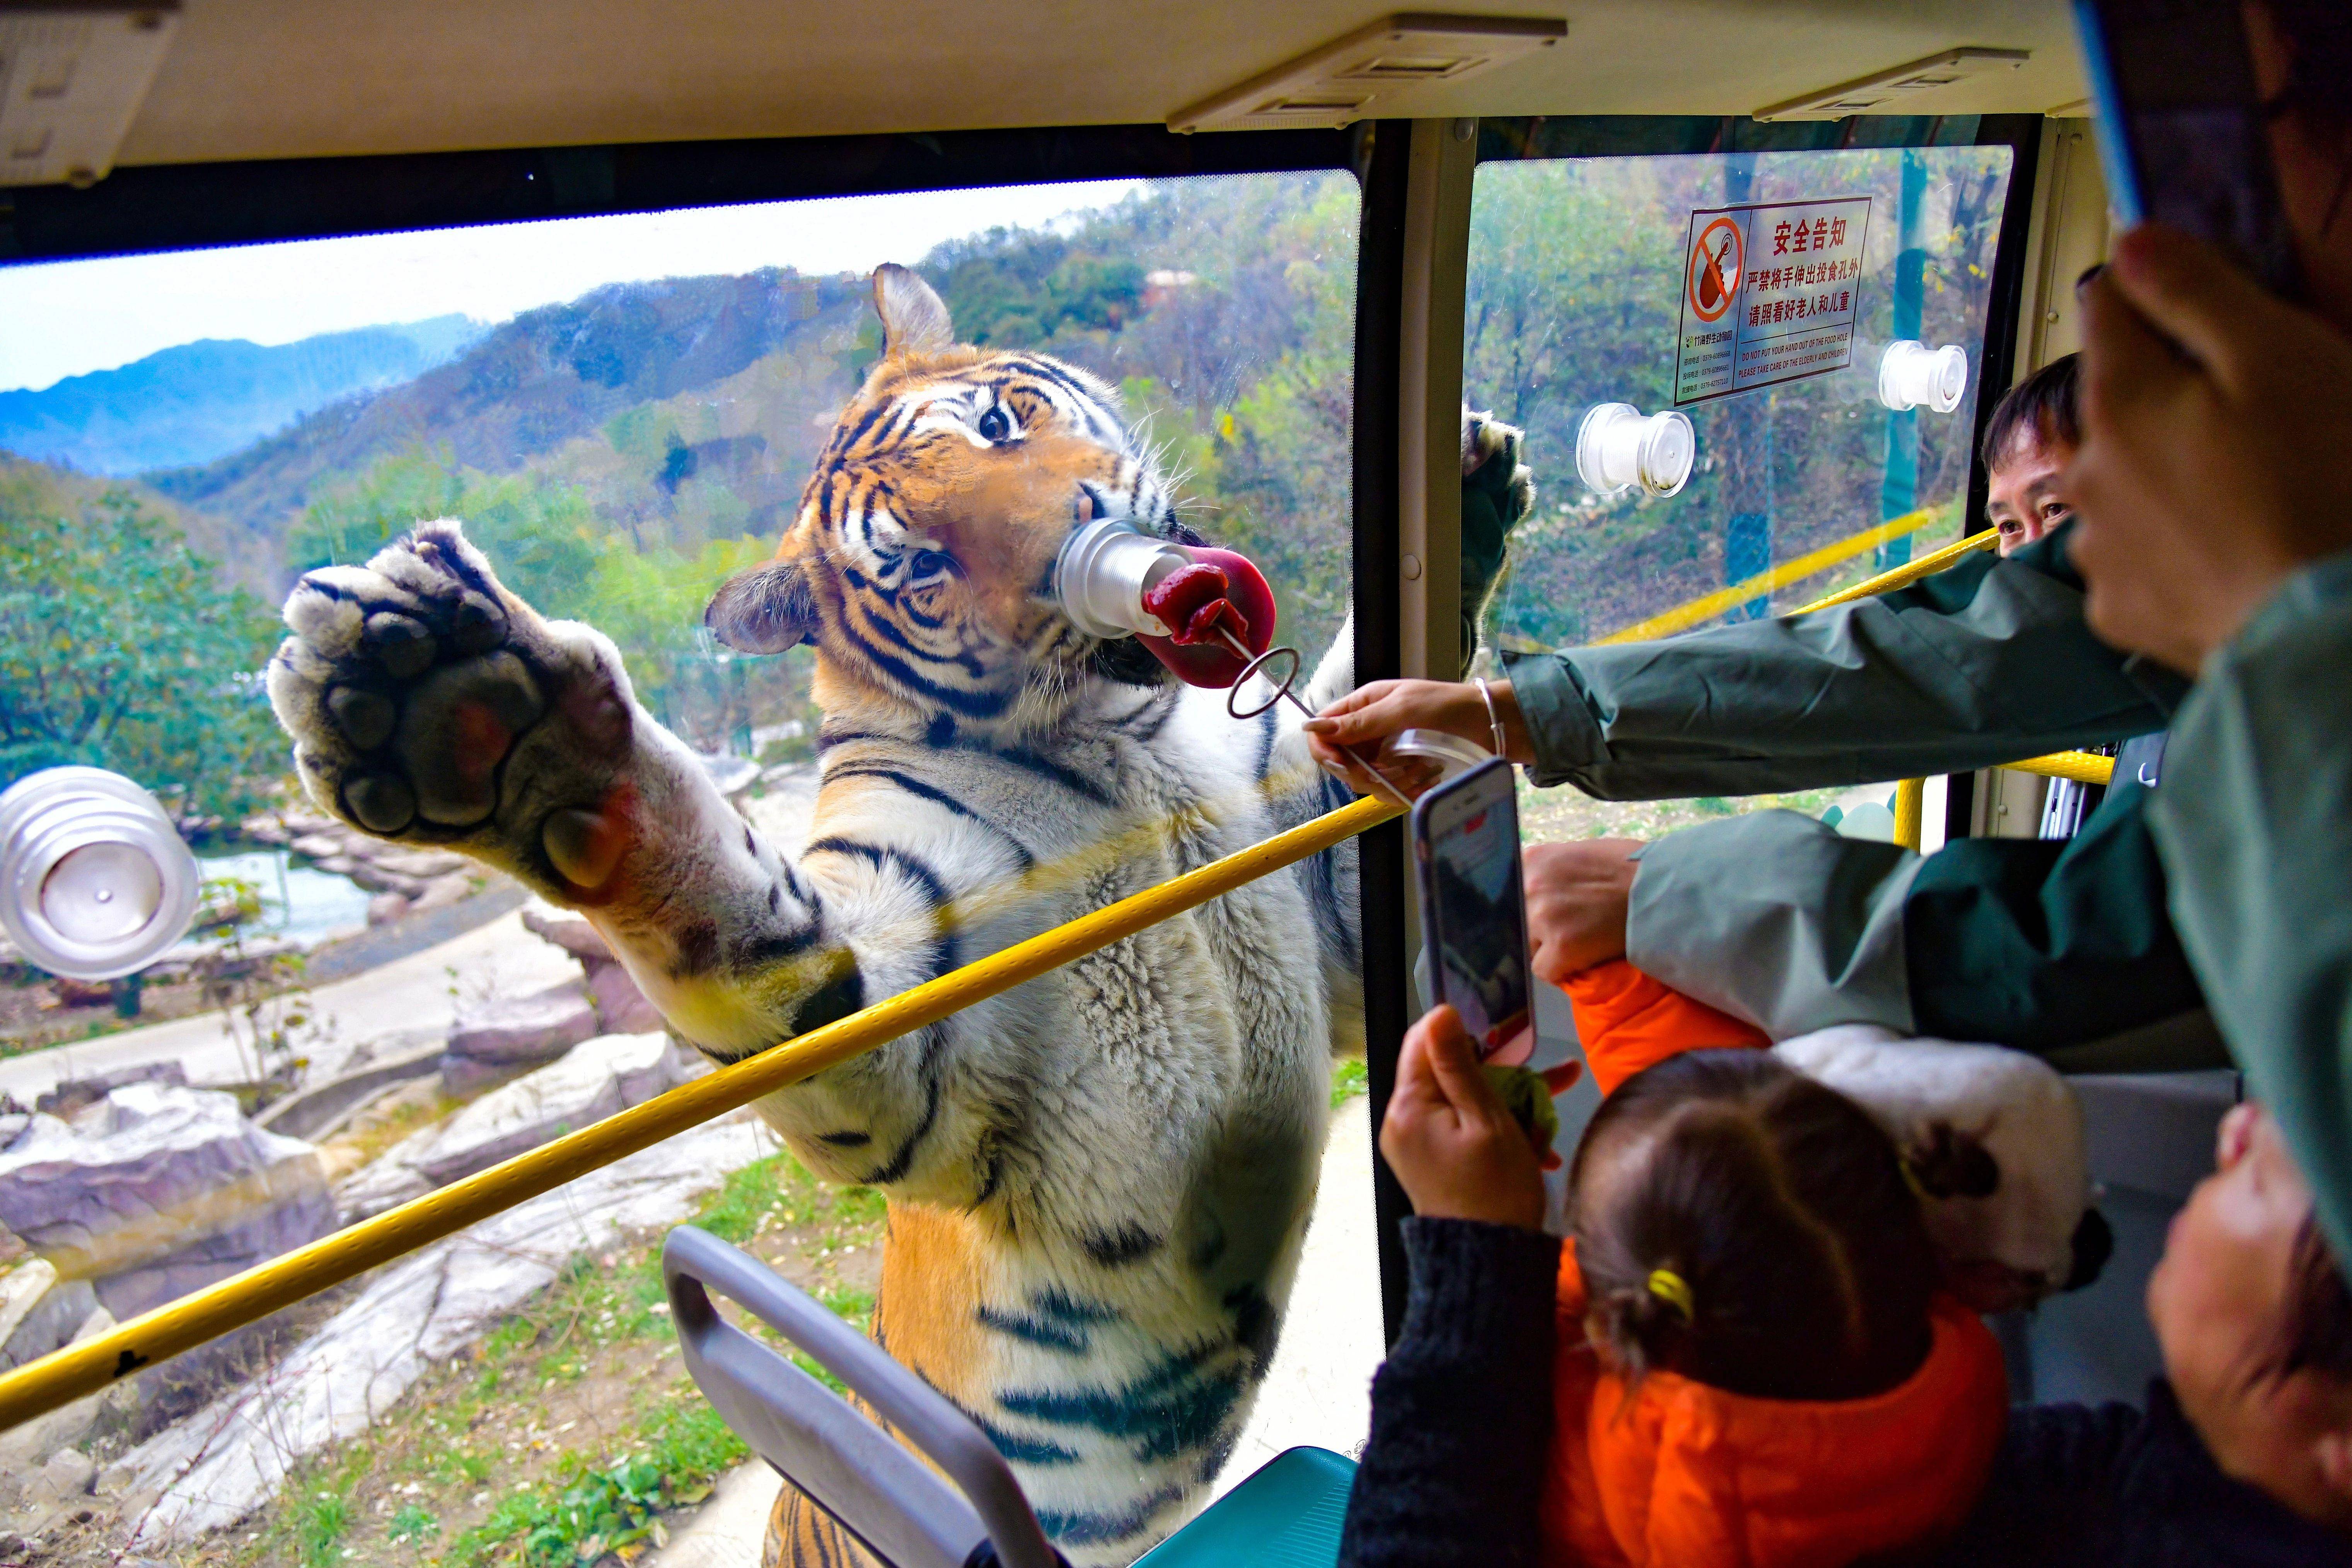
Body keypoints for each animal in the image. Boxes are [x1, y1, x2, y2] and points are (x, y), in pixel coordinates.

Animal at [270, 263, 1524, 1561]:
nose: (1084, 539)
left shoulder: (1324, 890)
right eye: (920, 565)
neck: (1122, 737)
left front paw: (1471, 483)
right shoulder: (913, 1047)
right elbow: (736, 926)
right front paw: (480, 722)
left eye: (1000, 422)